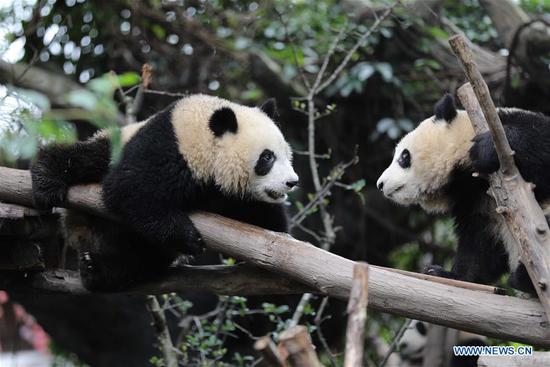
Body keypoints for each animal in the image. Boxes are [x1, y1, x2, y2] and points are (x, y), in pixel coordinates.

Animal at [31, 94, 302, 290]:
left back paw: (97, 270)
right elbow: (130, 189)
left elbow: (269, 224)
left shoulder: (233, 196)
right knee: (84, 157)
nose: (292, 182)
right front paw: (188, 237)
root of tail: (82, 231)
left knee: (139, 258)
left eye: (287, 155)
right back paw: (47, 180)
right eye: (267, 157)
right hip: (113, 147)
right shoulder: (168, 147)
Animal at [380, 93, 550, 294]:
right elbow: (480, 247)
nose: (380, 184)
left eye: (404, 157)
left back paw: (523, 278)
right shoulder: (475, 202)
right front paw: (443, 273)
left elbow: (539, 139)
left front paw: (487, 148)